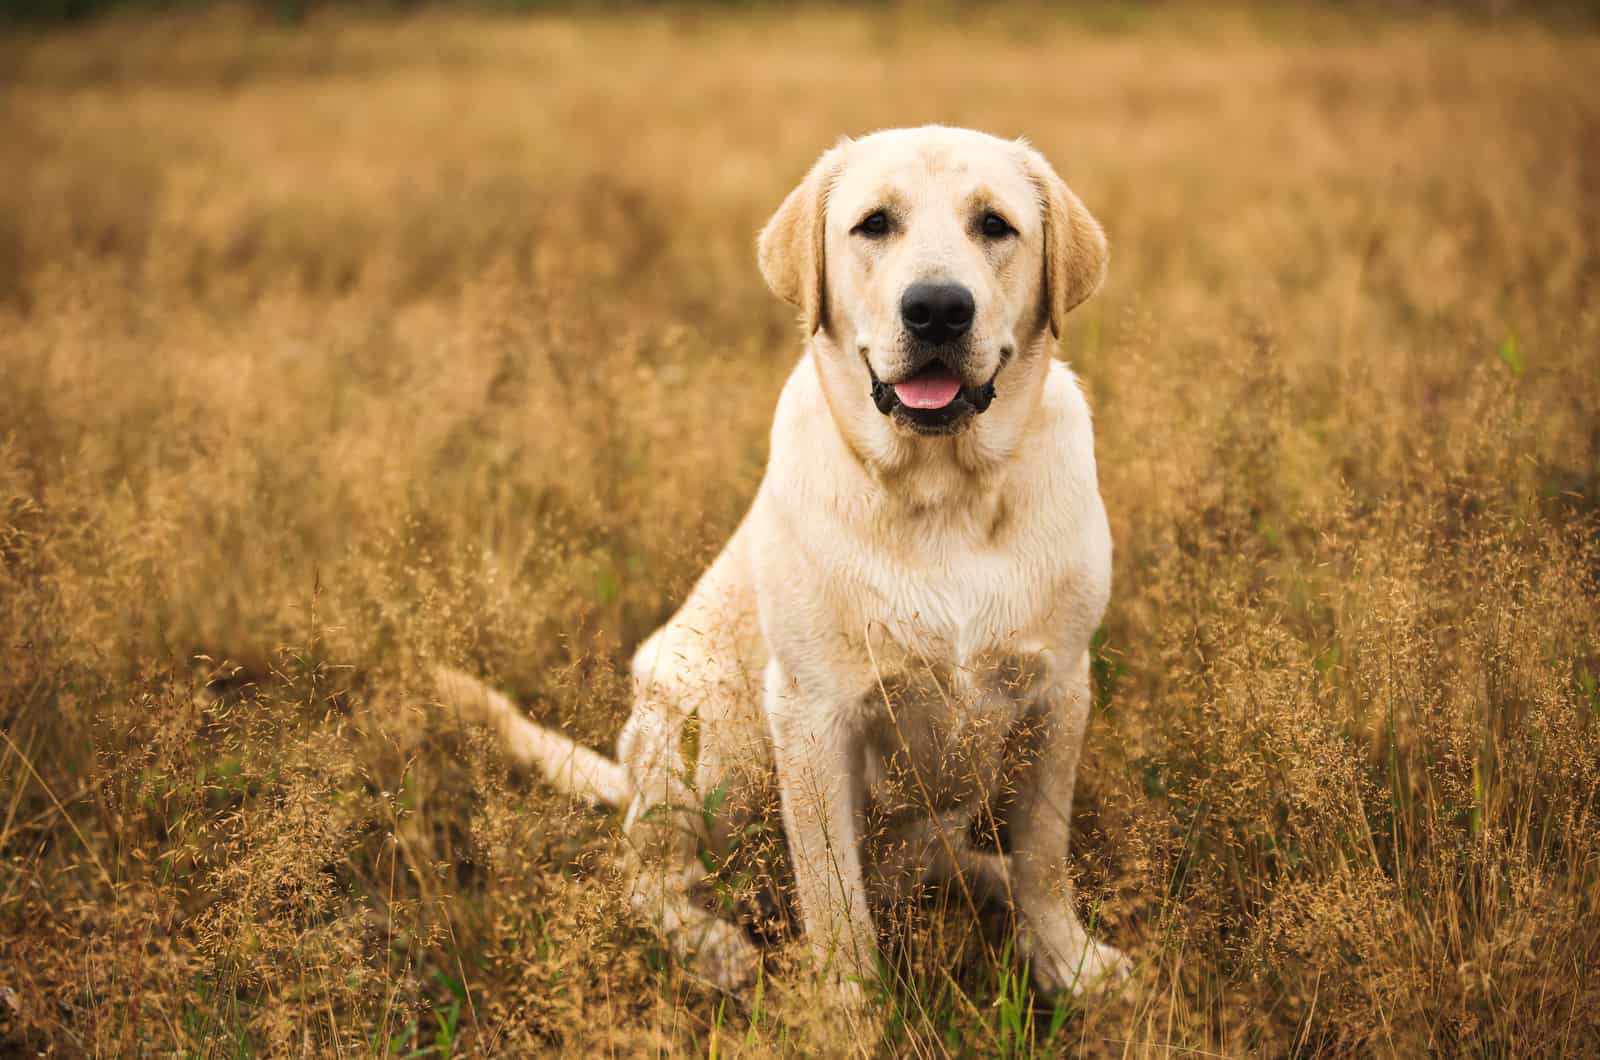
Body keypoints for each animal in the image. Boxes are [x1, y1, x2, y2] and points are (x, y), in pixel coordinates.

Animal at [438, 124, 1126, 1005]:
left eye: (995, 225)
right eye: (874, 224)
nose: (938, 309)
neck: (945, 495)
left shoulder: (1060, 690)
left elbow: (1044, 855)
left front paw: (1069, 962)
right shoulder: (814, 714)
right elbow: (835, 906)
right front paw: (849, 1016)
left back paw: (985, 879)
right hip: (695, 717)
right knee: (647, 877)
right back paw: (709, 946)